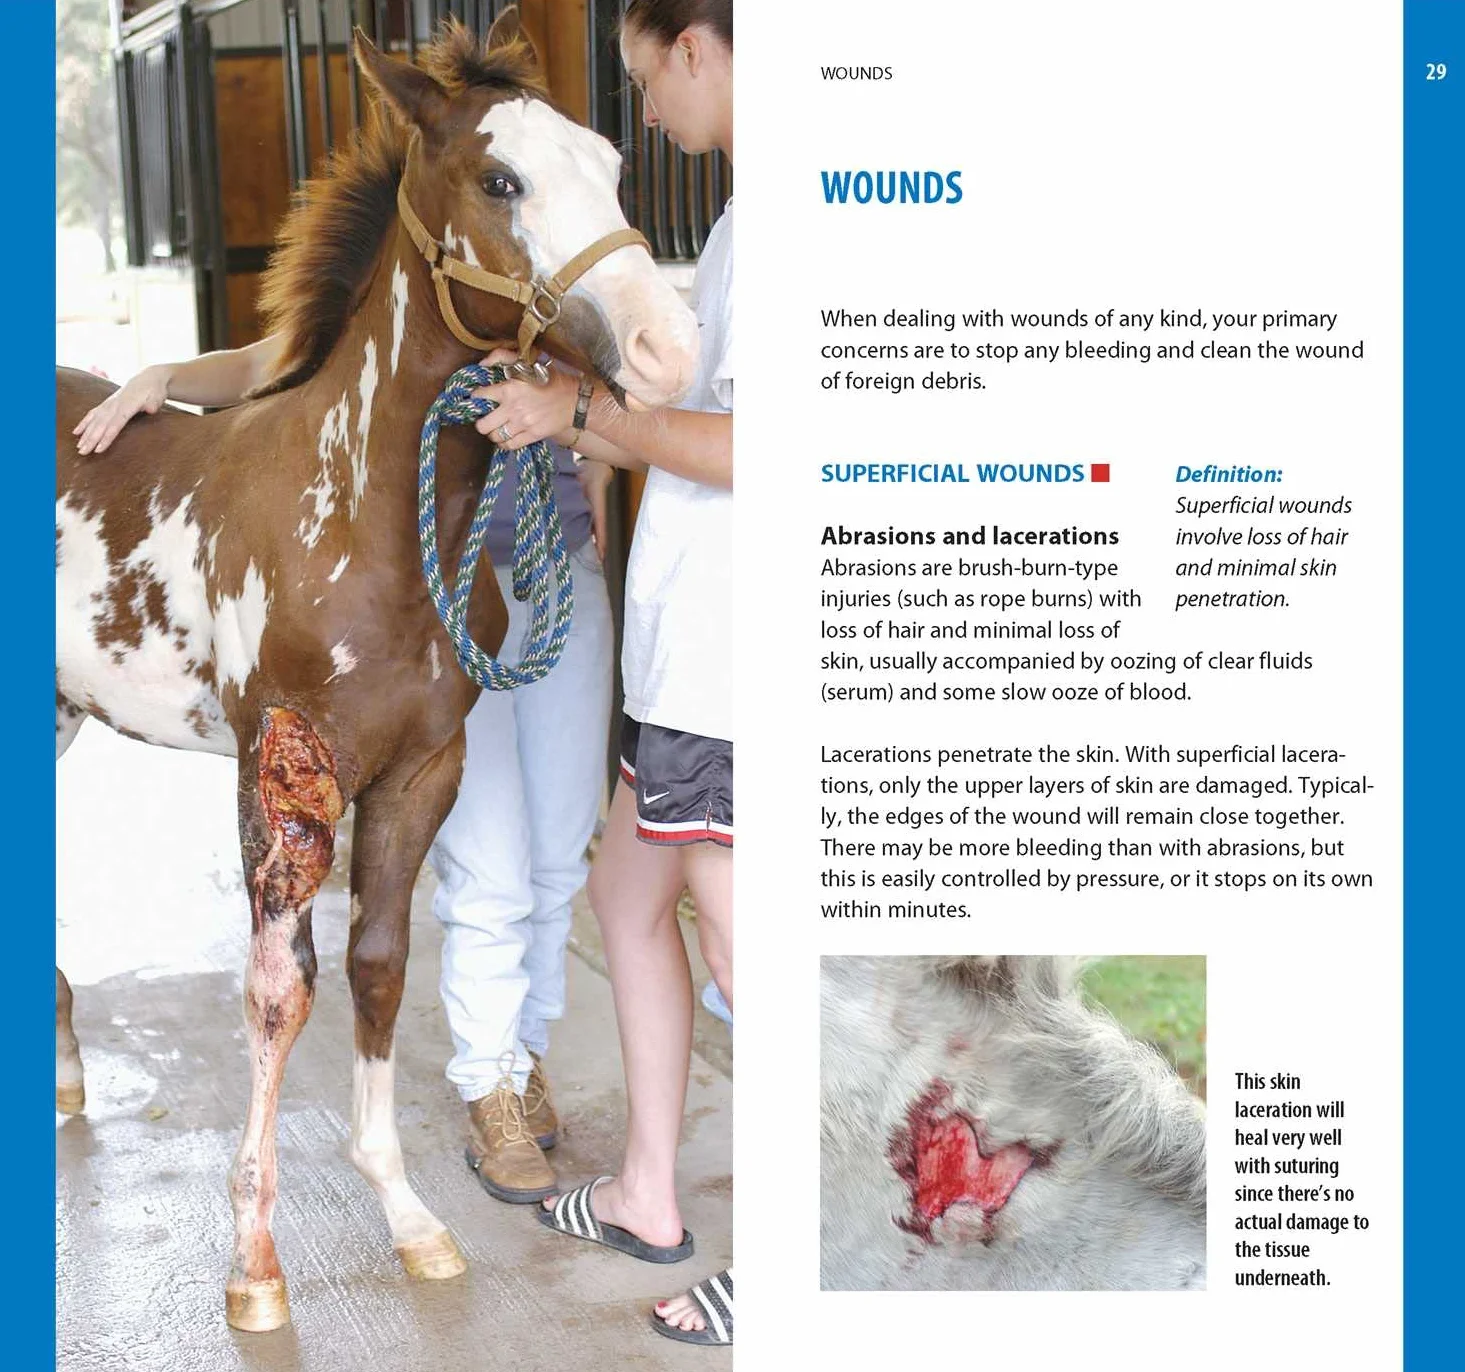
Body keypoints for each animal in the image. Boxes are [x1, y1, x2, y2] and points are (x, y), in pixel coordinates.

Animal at [54, 12, 698, 1333]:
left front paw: (408, 1219)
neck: (357, 510)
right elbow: (277, 990)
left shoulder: (419, 773)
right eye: (500, 181)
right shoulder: (280, 773)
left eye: (615, 165)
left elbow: (381, 969)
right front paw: (254, 1266)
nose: (669, 348)